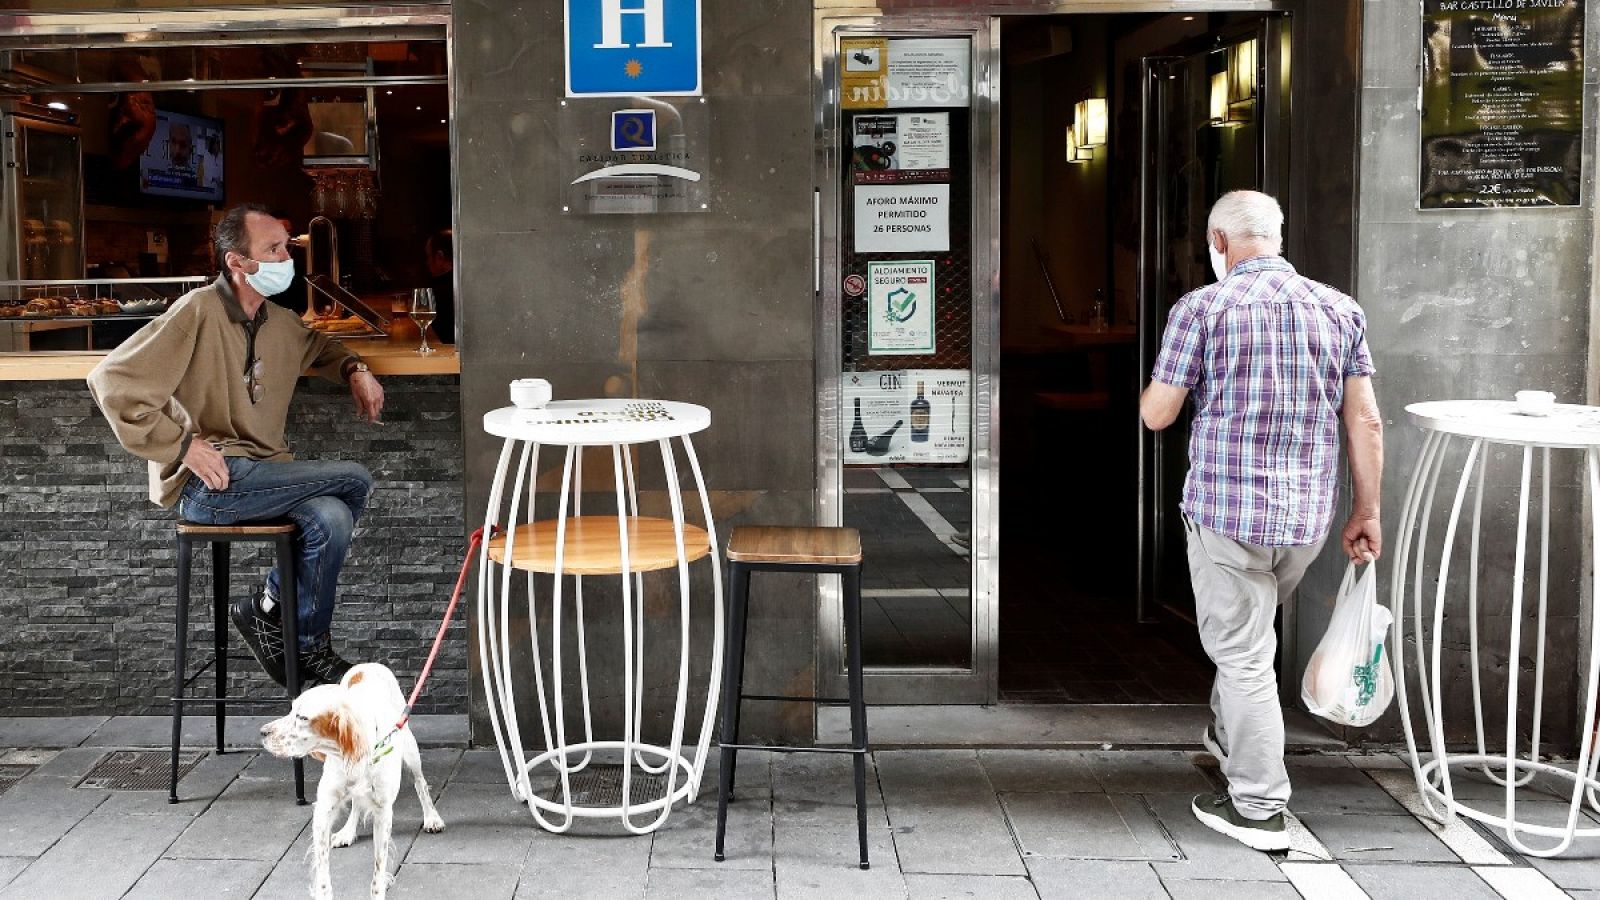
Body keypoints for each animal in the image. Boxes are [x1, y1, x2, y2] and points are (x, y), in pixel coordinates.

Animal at [259, 659, 444, 896]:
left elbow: (378, 869)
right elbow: (323, 873)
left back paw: (432, 818)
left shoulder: (383, 813)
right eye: (291, 711)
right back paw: (347, 832)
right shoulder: (324, 809)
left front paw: (378, 891)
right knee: (356, 802)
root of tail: (368, 664)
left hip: (410, 750)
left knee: (420, 784)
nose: (262, 732)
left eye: (302, 717)